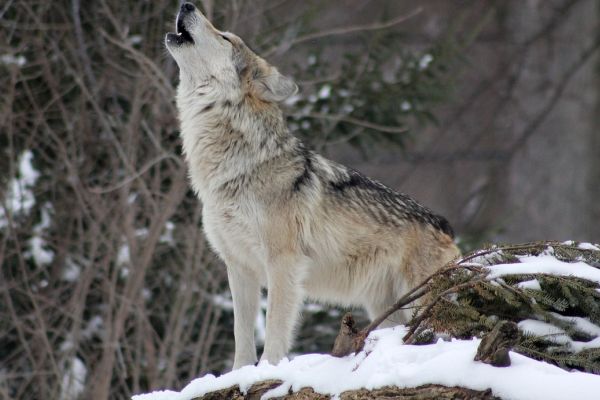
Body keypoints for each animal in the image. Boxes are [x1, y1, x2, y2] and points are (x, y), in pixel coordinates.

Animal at [165, 1, 460, 368]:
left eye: (225, 37)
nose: (186, 4)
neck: (236, 167)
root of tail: (445, 225)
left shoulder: (283, 263)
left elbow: (275, 328)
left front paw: (267, 370)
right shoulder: (239, 267)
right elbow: (241, 335)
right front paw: (240, 373)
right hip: (386, 309)